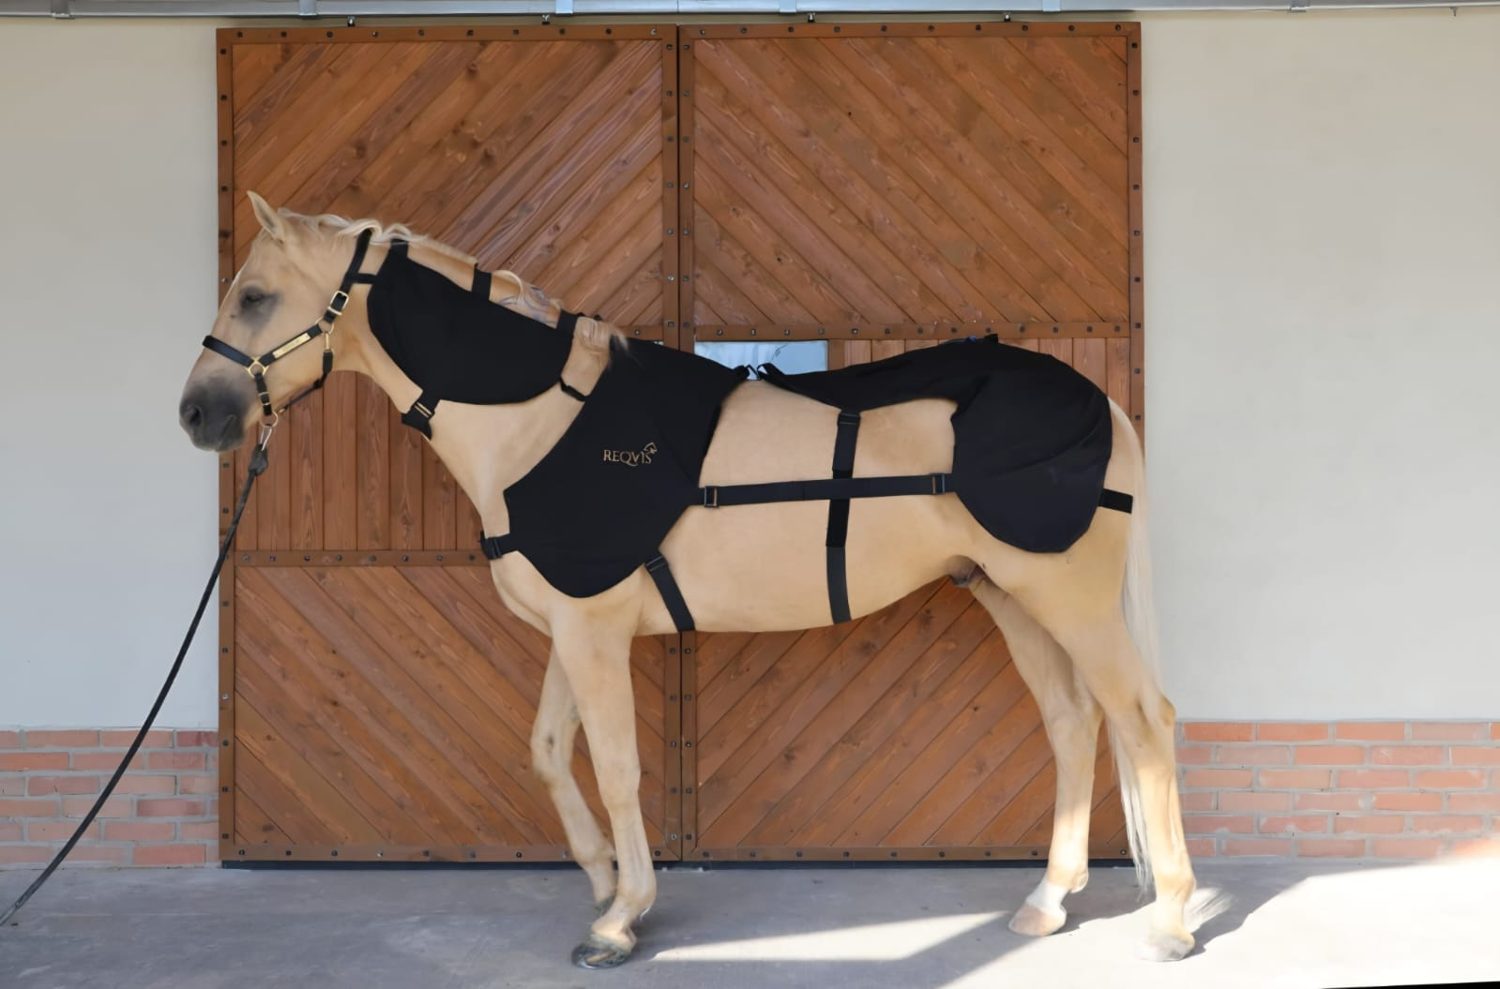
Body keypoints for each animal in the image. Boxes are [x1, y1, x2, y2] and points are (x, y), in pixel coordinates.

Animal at [178, 192, 1196, 968]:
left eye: (256, 295)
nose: (196, 414)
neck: (540, 420)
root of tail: (1097, 398)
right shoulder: (574, 623)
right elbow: (549, 751)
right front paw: (599, 879)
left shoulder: (592, 630)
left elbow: (616, 764)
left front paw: (622, 918)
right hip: (1008, 595)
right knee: (1073, 723)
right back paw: (1047, 900)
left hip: (1068, 597)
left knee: (1143, 720)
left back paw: (1174, 918)